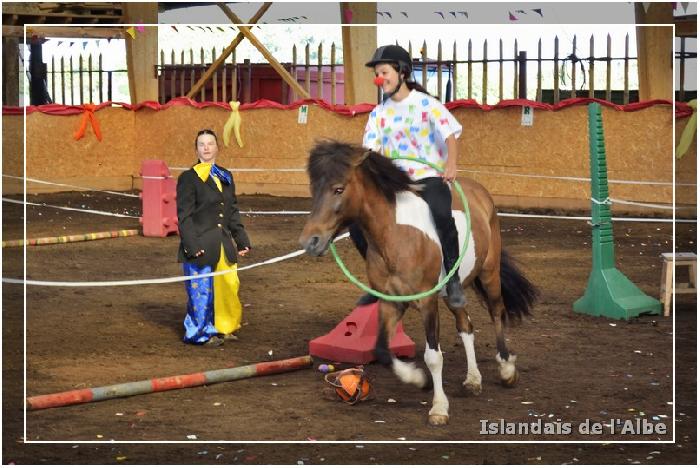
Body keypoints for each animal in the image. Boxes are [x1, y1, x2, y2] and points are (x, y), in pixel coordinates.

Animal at [298, 141, 540, 426]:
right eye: (314, 189)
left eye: (338, 188)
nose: (310, 241)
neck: (395, 237)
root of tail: (480, 192)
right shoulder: (391, 302)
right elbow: (382, 350)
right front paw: (418, 379)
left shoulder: (427, 301)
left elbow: (433, 356)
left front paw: (439, 408)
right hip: (452, 291)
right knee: (466, 326)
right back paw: (472, 379)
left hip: (489, 274)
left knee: (496, 313)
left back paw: (506, 369)